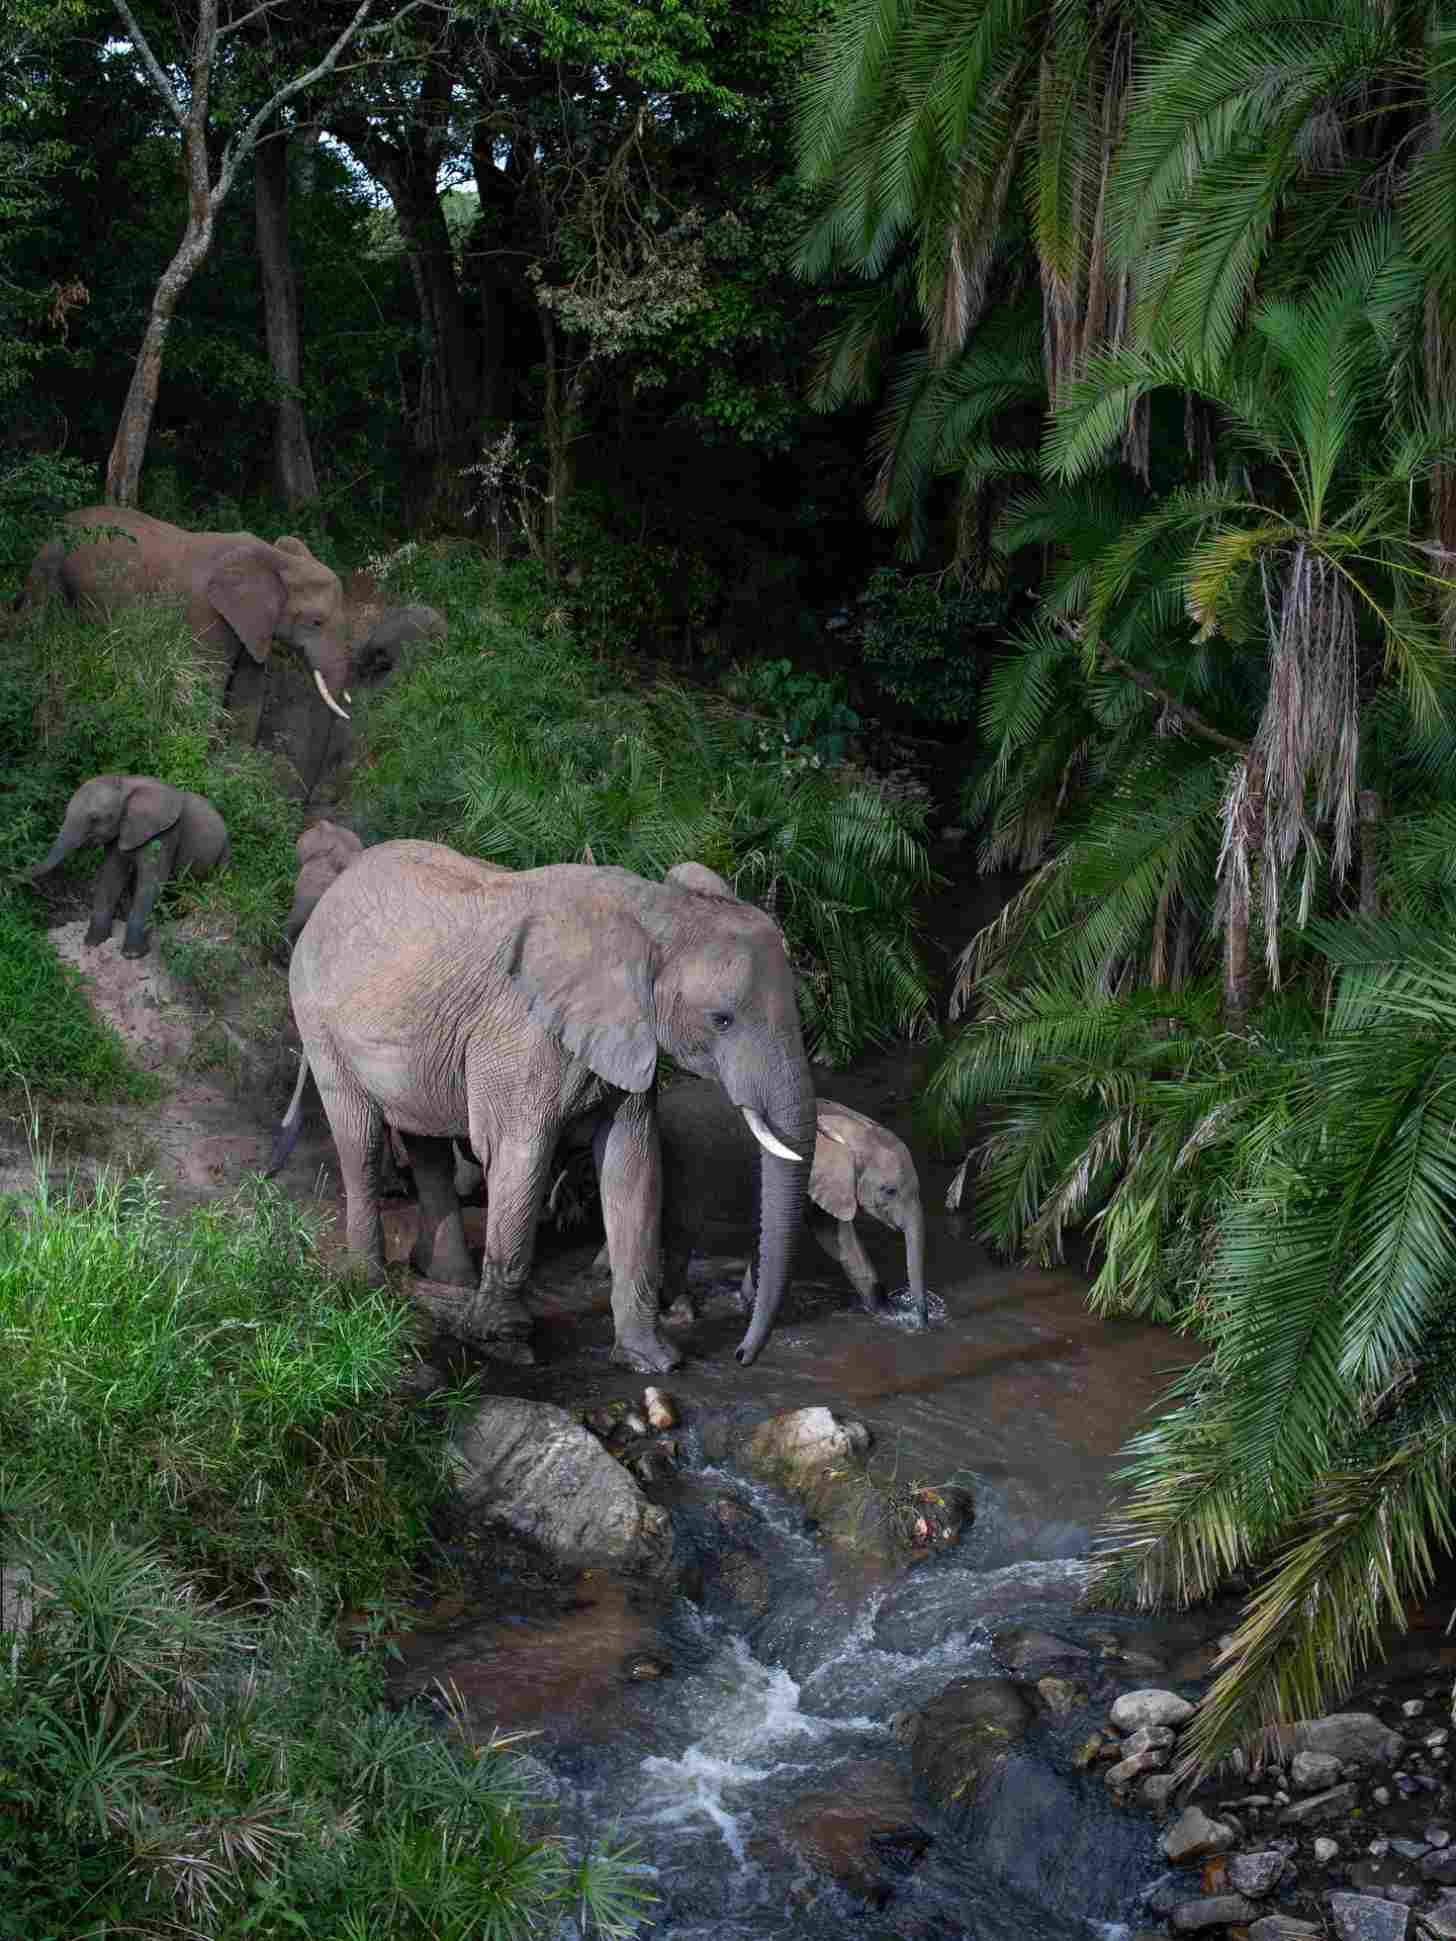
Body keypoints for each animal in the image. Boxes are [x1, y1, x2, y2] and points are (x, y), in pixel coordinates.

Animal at [19, 507, 353, 740]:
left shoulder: (253, 621)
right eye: (316, 622)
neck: (278, 558)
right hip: (49, 566)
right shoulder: (206, 612)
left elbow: (250, 687)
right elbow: (209, 679)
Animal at [33, 773, 230, 959]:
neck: (126, 783)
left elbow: (151, 883)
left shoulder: (166, 833)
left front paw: (132, 955)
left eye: (95, 818)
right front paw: (93, 943)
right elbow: (110, 876)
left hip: (225, 847)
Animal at [268, 840, 815, 1372]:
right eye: (721, 1019)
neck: (652, 914)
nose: (743, 1356)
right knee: (359, 1136)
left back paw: (446, 1279)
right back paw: (368, 1288)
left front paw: (651, 1360)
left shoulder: (623, 1035)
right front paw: (506, 1345)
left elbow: (633, 1163)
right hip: (317, 1017)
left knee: (426, 1141)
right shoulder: (521, 1035)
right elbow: (520, 1155)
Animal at [591, 1087, 928, 1328]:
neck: (849, 1124)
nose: (919, 1322)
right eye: (889, 1191)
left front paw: (886, 1313)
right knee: (680, 1235)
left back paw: (601, 1275)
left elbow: (837, 1239)